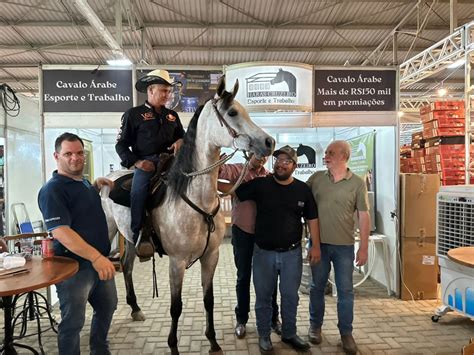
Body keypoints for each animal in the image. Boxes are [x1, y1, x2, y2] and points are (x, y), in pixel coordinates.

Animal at [103, 78, 274, 355]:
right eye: (232, 112)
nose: (269, 142)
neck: (196, 199)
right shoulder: (177, 262)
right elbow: (176, 306)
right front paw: (173, 346)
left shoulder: (211, 257)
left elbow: (209, 300)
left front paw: (213, 342)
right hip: (109, 229)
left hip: (128, 236)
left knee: (127, 266)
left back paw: (136, 308)